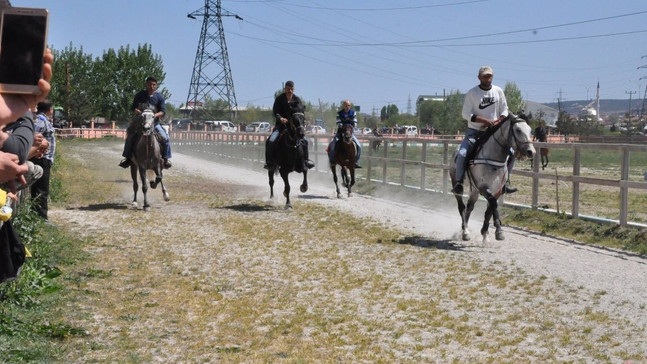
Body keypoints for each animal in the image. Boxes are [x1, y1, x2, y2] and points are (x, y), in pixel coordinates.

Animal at [450, 114, 536, 243]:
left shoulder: (497, 190)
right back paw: (465, 232)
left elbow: (489, 211)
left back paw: (463, 231)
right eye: (518, 130)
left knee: (470, 207)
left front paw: (485, 234)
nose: (531, 151)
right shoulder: (484, 188)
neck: (493, 158)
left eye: (530, 130)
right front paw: (499, 232)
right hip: (458, 185)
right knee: (462, 206)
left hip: (474, 190)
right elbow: (493, 205)